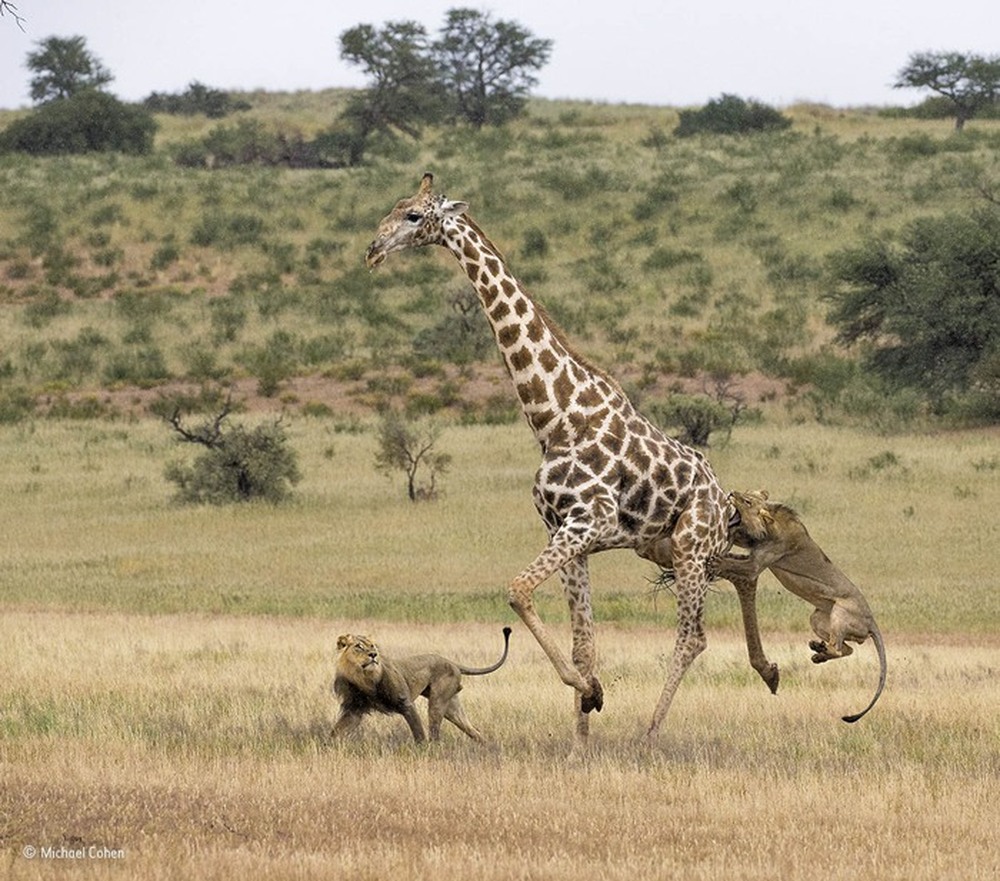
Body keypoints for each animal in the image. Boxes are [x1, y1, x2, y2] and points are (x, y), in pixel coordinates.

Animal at [332, 624, 512, 744]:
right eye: (359, 647)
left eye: (373, 646)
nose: (373, 654)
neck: (363, 678)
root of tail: (451, 662)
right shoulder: (354, 709)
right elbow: (337, 730)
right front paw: (329, 746)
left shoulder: (405, 703)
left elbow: (418, 730)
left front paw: (421, 749)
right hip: (452, 708)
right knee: (473, 730)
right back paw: (488, 747)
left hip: (438, 701)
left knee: (435, 732)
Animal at [368, 170, 736, 744]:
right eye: (395, 206)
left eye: (413, 215)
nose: (373, 249)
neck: (553, 415)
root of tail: (727, 504)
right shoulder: (566, 530)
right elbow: (583, 643)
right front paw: (580, 736)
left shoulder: (589, 521)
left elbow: (517, 590)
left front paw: (590, 694)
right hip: (659, 548)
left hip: (691, 548)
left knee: (693, 636)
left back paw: (649, 733)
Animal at [716, 488, 888, 720]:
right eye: (746, 493)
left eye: (747, 501)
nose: (731, 493)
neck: (770, 526)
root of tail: (872, 622)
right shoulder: (753, 546)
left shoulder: (756, 564)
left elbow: (733, 563)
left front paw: (715, 561)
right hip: (817, 618)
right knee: (847, 649)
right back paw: (818, 652)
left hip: (840, 613)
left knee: (839, 648)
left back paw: (821, 650)